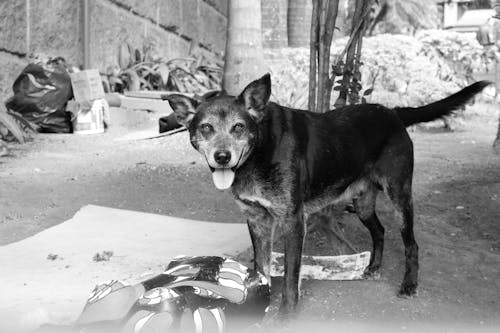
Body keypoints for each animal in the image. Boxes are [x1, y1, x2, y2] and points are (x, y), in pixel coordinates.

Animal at [166, 76, 490, 314]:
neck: (258, 155)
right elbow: (262, 269)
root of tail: (394, 112)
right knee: (379, 231)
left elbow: (290, 278)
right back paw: (373, 267)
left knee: (411, 244)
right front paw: (260, 305)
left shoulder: (293, 221)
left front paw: (285, 314)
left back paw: (409, 285)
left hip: (399, 196)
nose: (222, 157)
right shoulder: (257, 221)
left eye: (239, 127)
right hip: (362, 202)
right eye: (206, 128)